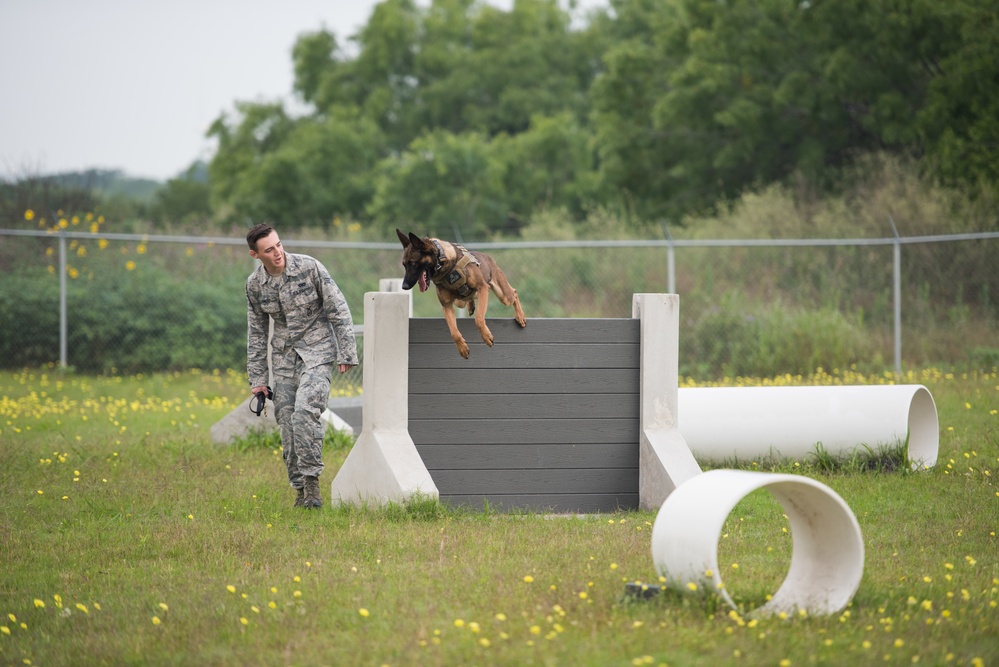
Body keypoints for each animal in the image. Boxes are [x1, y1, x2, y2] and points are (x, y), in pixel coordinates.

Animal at [396, 230, 528, 360]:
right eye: (404, 265)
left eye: (412, 263)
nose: (404, 286)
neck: (444, 263)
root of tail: (489, 257)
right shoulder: (447, 306)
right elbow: (454, 332)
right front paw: (462, 348)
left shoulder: (483, 288)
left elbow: (479, 319)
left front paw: (486, 336)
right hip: (460, 302)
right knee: (469, 298)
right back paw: (471, 305)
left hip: (503, 295)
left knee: (514, 293)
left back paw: (520, 316)